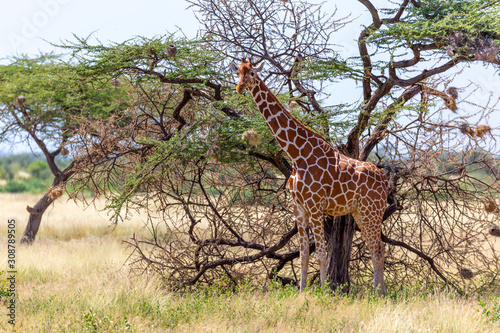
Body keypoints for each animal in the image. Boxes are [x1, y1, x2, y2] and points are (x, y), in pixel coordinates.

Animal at [231, 59, 390, 294]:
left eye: (251, 72)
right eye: (238, 73)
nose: (240, 87)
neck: (297, 154)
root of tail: (384, 179)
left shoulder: (316, 206)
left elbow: (322, 254)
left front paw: (324, 293)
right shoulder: (299, 208)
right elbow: (303, 254)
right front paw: (301, 292)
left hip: (372, 211)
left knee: (378, 249)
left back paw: (378, 293)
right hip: (361, 212)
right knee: (375, 248)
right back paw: (377, 293)